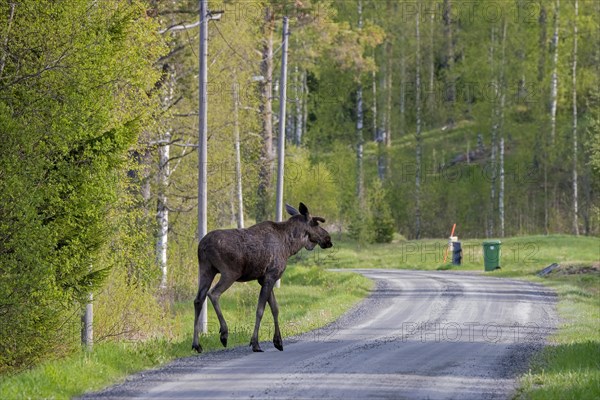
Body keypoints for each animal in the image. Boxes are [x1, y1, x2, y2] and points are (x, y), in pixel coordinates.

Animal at [192, 203, 332, 354]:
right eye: (315, 223)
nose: (328, 239)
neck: (290, 246)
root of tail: (202, 246)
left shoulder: (264, 279)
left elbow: (275, 308)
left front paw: (278, 341)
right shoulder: (271, 275)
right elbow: (260, 310)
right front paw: (255, 343)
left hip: (206, 269)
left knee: (198, 299)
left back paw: (196, 344)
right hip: (229, 272)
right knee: (213, 293)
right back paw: (224, 333)